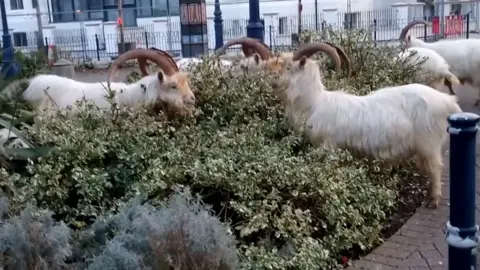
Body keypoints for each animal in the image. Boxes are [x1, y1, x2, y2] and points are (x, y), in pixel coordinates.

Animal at [280, 42, 464, 208]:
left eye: (288, 67)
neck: (314, 103)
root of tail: (448, 102)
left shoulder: (328, 147)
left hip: (429, 143)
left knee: (435, 169)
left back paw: (432, 200)